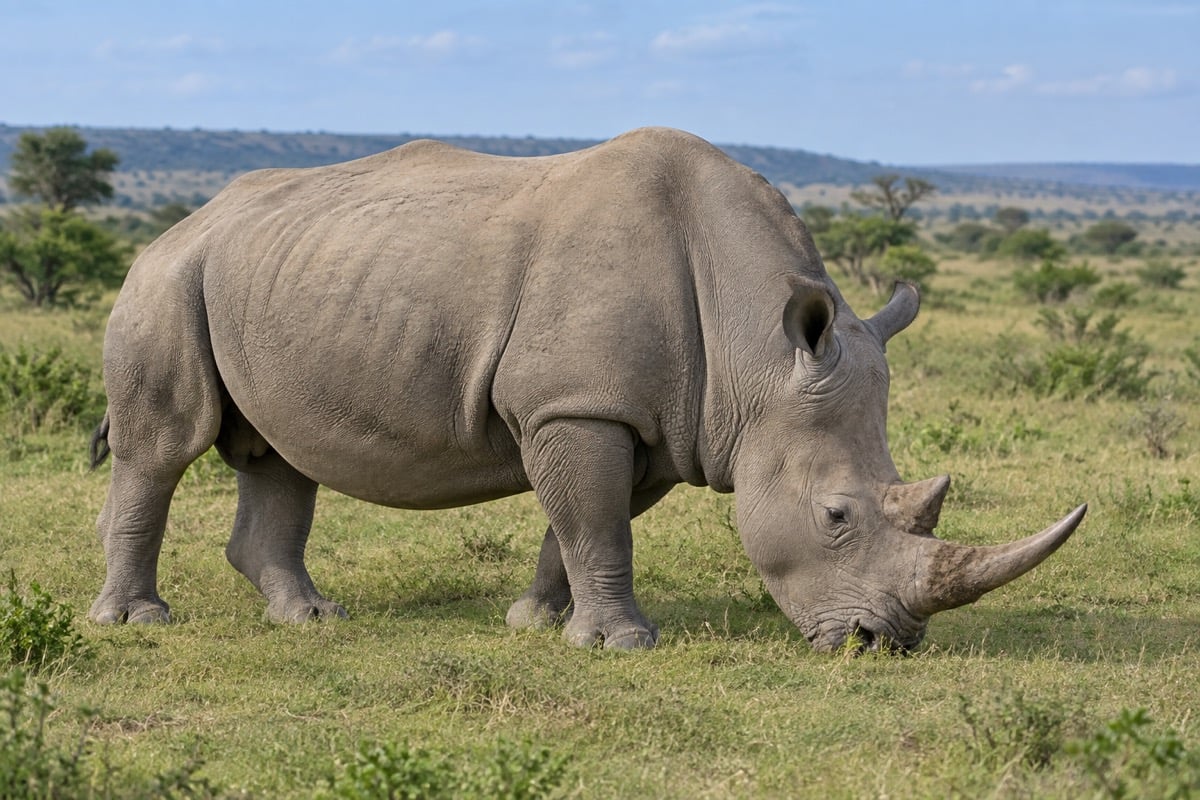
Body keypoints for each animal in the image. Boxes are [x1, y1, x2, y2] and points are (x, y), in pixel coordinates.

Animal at [88, 126, 1086, 652]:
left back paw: (312, 619)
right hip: (166, 278)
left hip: (268, 279)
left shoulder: (652, 419)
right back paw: (137, 623)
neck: (757, 350)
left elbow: (579, 525)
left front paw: (538, 621)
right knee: (163, 448)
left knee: (278, 453)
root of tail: (188, 219)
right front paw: (624, 645)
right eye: (836, 516)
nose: (885, 643)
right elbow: (596, 524)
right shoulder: (578, 403)